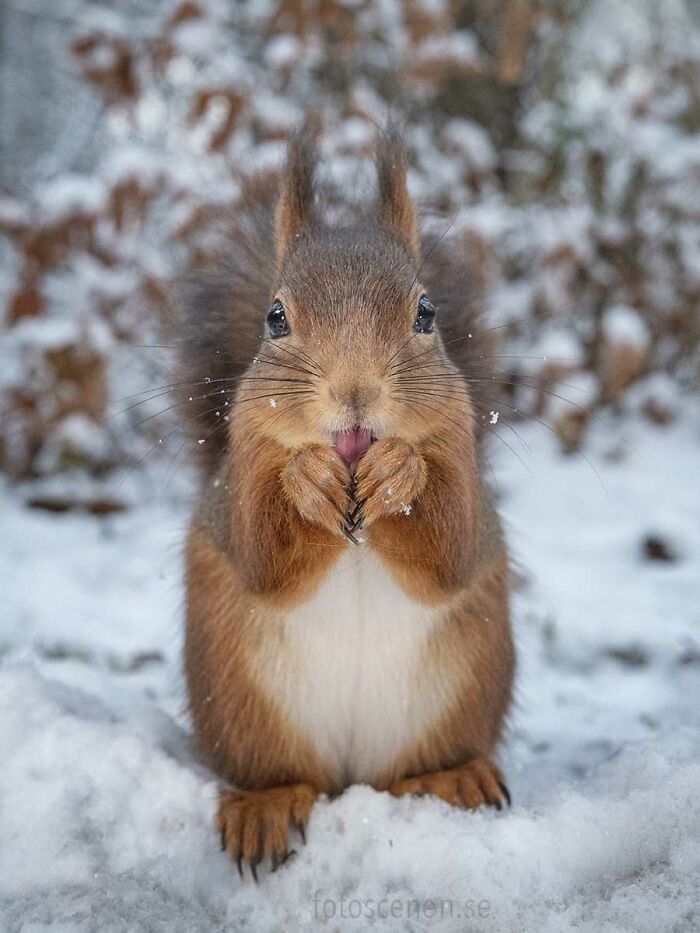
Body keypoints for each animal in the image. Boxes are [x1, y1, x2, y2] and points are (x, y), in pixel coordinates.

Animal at [179, 122, 515, 879]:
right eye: (275, 318)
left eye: (427, 313)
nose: (355, 391)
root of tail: (353, 777)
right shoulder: (238, 477)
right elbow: (261, 553)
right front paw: (307, 477)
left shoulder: (462, 463)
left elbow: (451, 547)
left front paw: (400, 472)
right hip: (241, 705)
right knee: (279, 773)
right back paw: (265, 806)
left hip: (463, 693)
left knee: (417, 769)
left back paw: (454, 776)